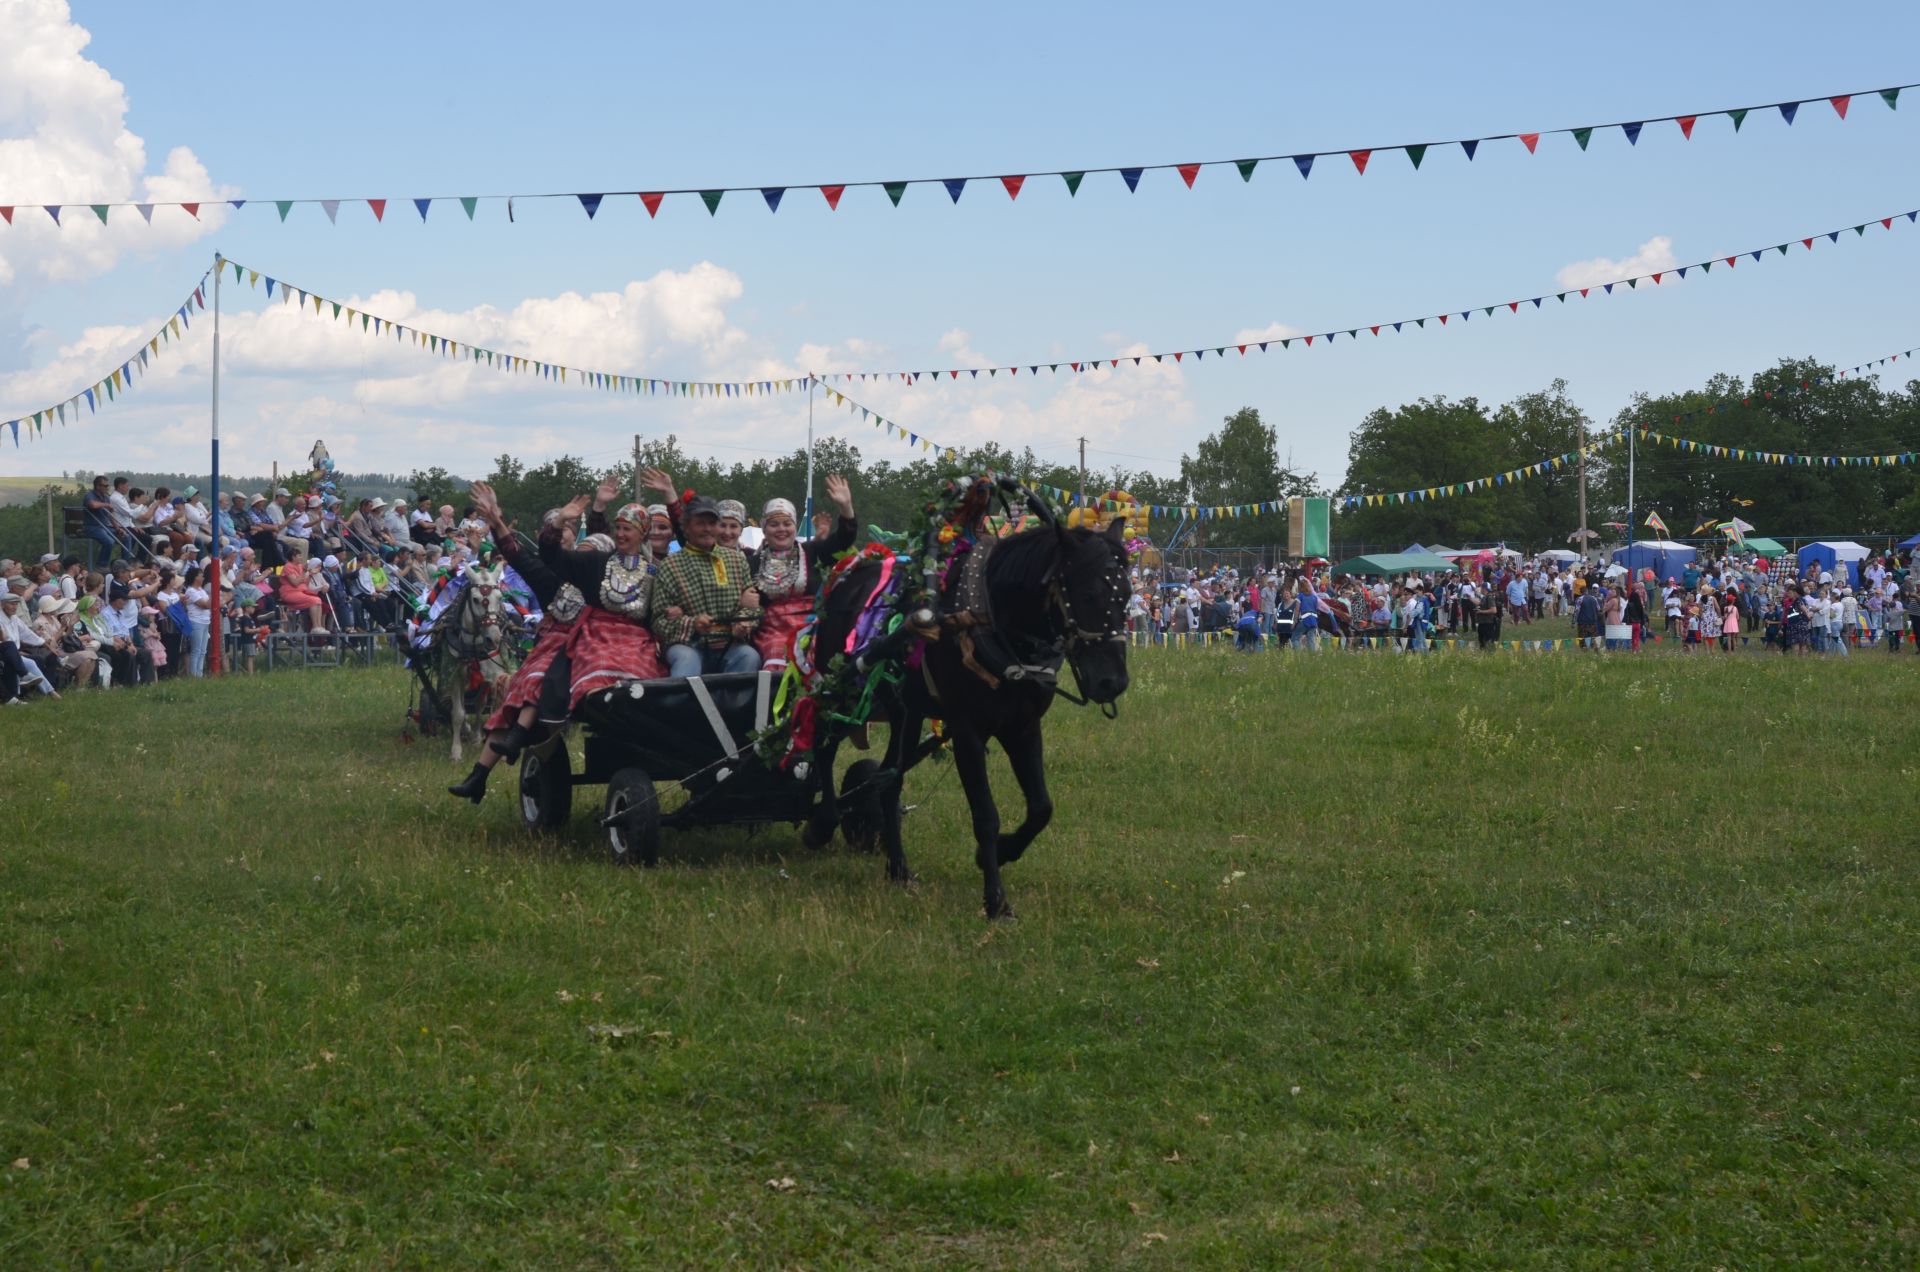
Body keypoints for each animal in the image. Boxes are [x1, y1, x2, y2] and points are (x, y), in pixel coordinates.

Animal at [802, 486, 1128, 918]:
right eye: (1088, 593)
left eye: (1127, 595)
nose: (1113, 682)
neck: (990, 621)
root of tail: (844, 580)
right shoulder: (967, 731)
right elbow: (986, 816)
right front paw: (996, 900)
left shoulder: (1023, 726)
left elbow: (1041, 808)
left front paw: (1004, 853)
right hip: (846, 689)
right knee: (823, 744)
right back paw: (822, 822)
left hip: (905, 713)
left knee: (888, 780)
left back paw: (898, 867)